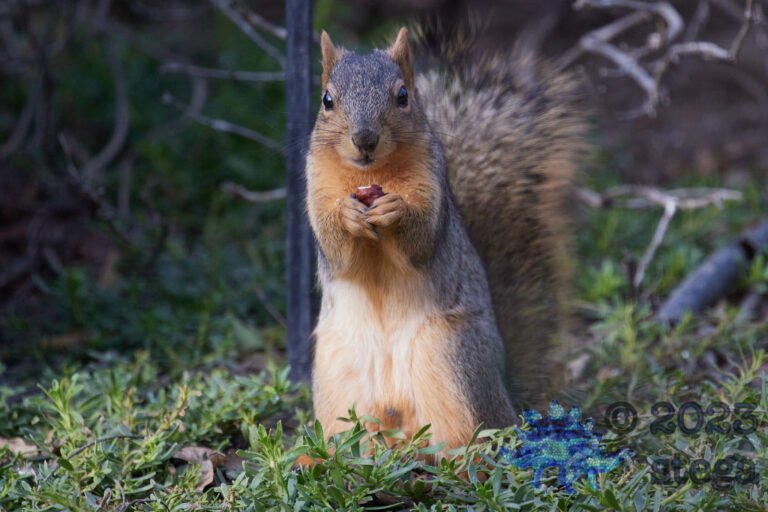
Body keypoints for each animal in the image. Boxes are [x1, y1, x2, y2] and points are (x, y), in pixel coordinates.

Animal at [305, 25, 584, 456]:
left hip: (450, 362)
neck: (369, 174)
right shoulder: (316, 189)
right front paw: (348, 216)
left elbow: (421, 242)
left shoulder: (432, 188)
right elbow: (337, 253)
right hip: (339, 381)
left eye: (403, 95)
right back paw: (321, 459)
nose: (364, 139)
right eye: (327, 100)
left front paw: (396, 210)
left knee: (472, 431)